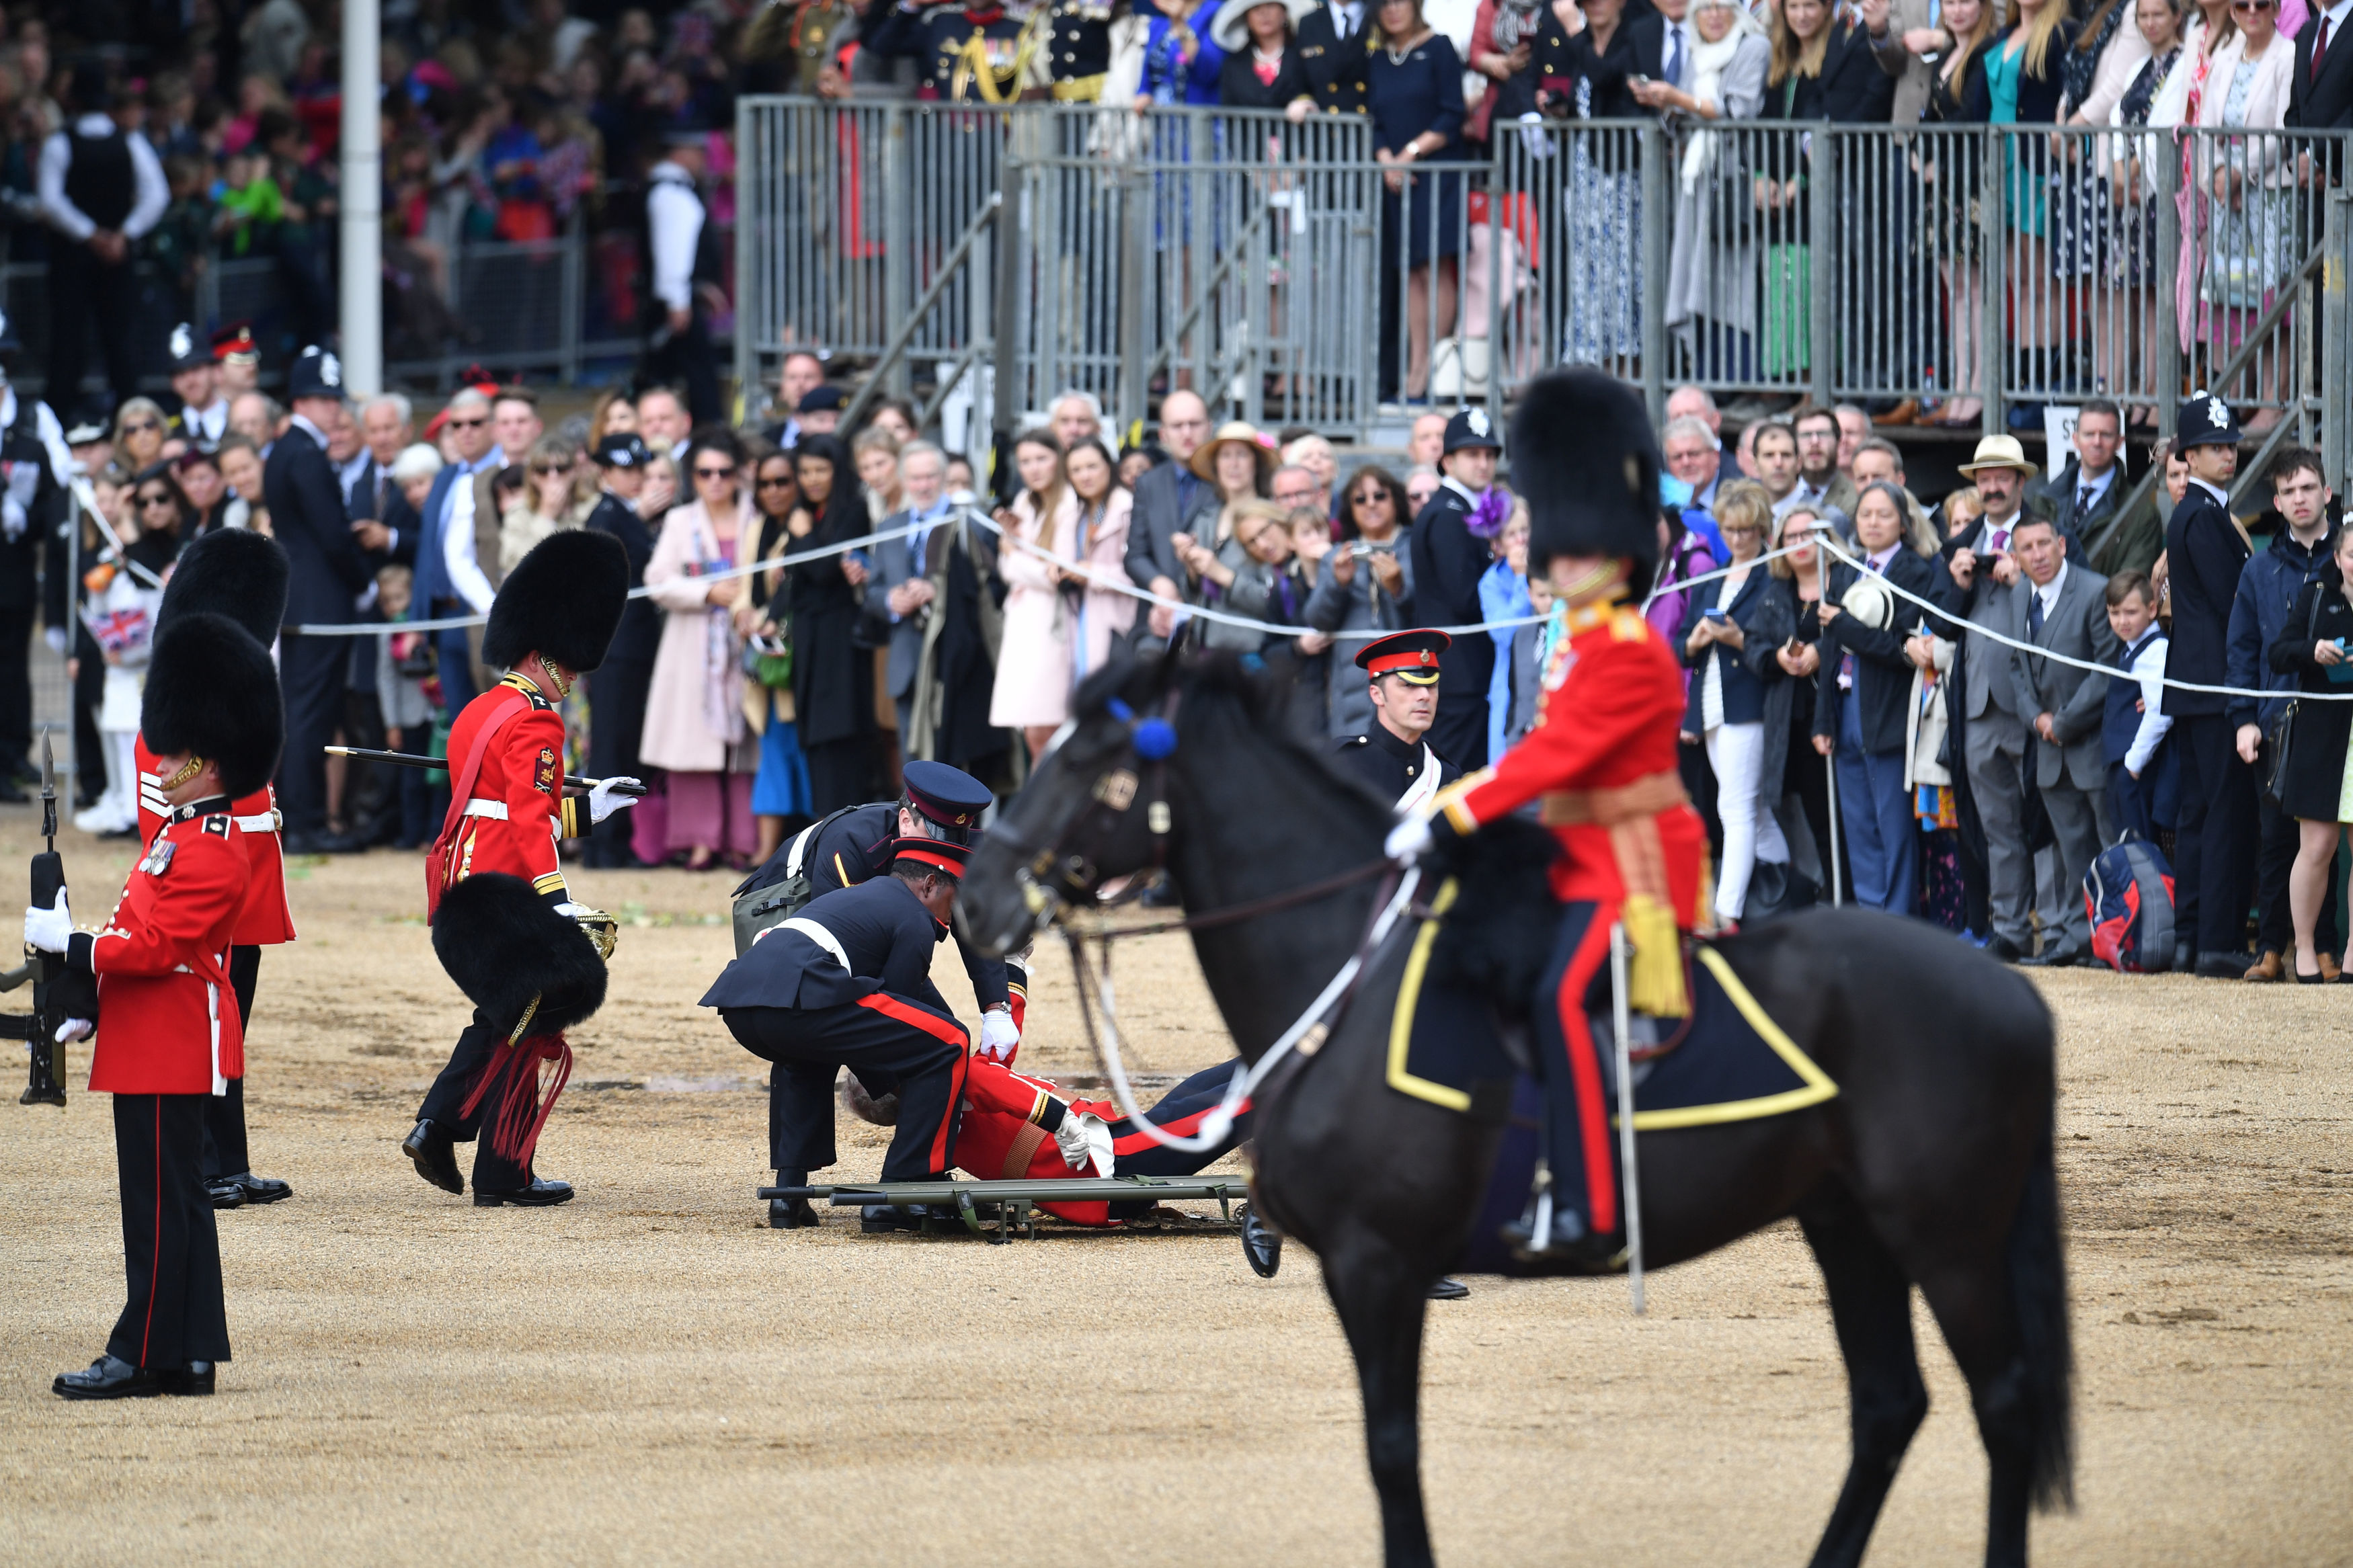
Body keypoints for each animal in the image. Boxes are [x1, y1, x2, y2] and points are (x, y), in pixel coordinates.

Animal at [960, 658, 2080, 1568]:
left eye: (1093, 756)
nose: (977, 900)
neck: (1348, 976)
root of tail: (2011, 990)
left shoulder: (1377, 1262)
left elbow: (1393, 1453)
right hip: (1849, 1224)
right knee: (1892, 1405)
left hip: (1947, 1236)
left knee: (2004, 1403)